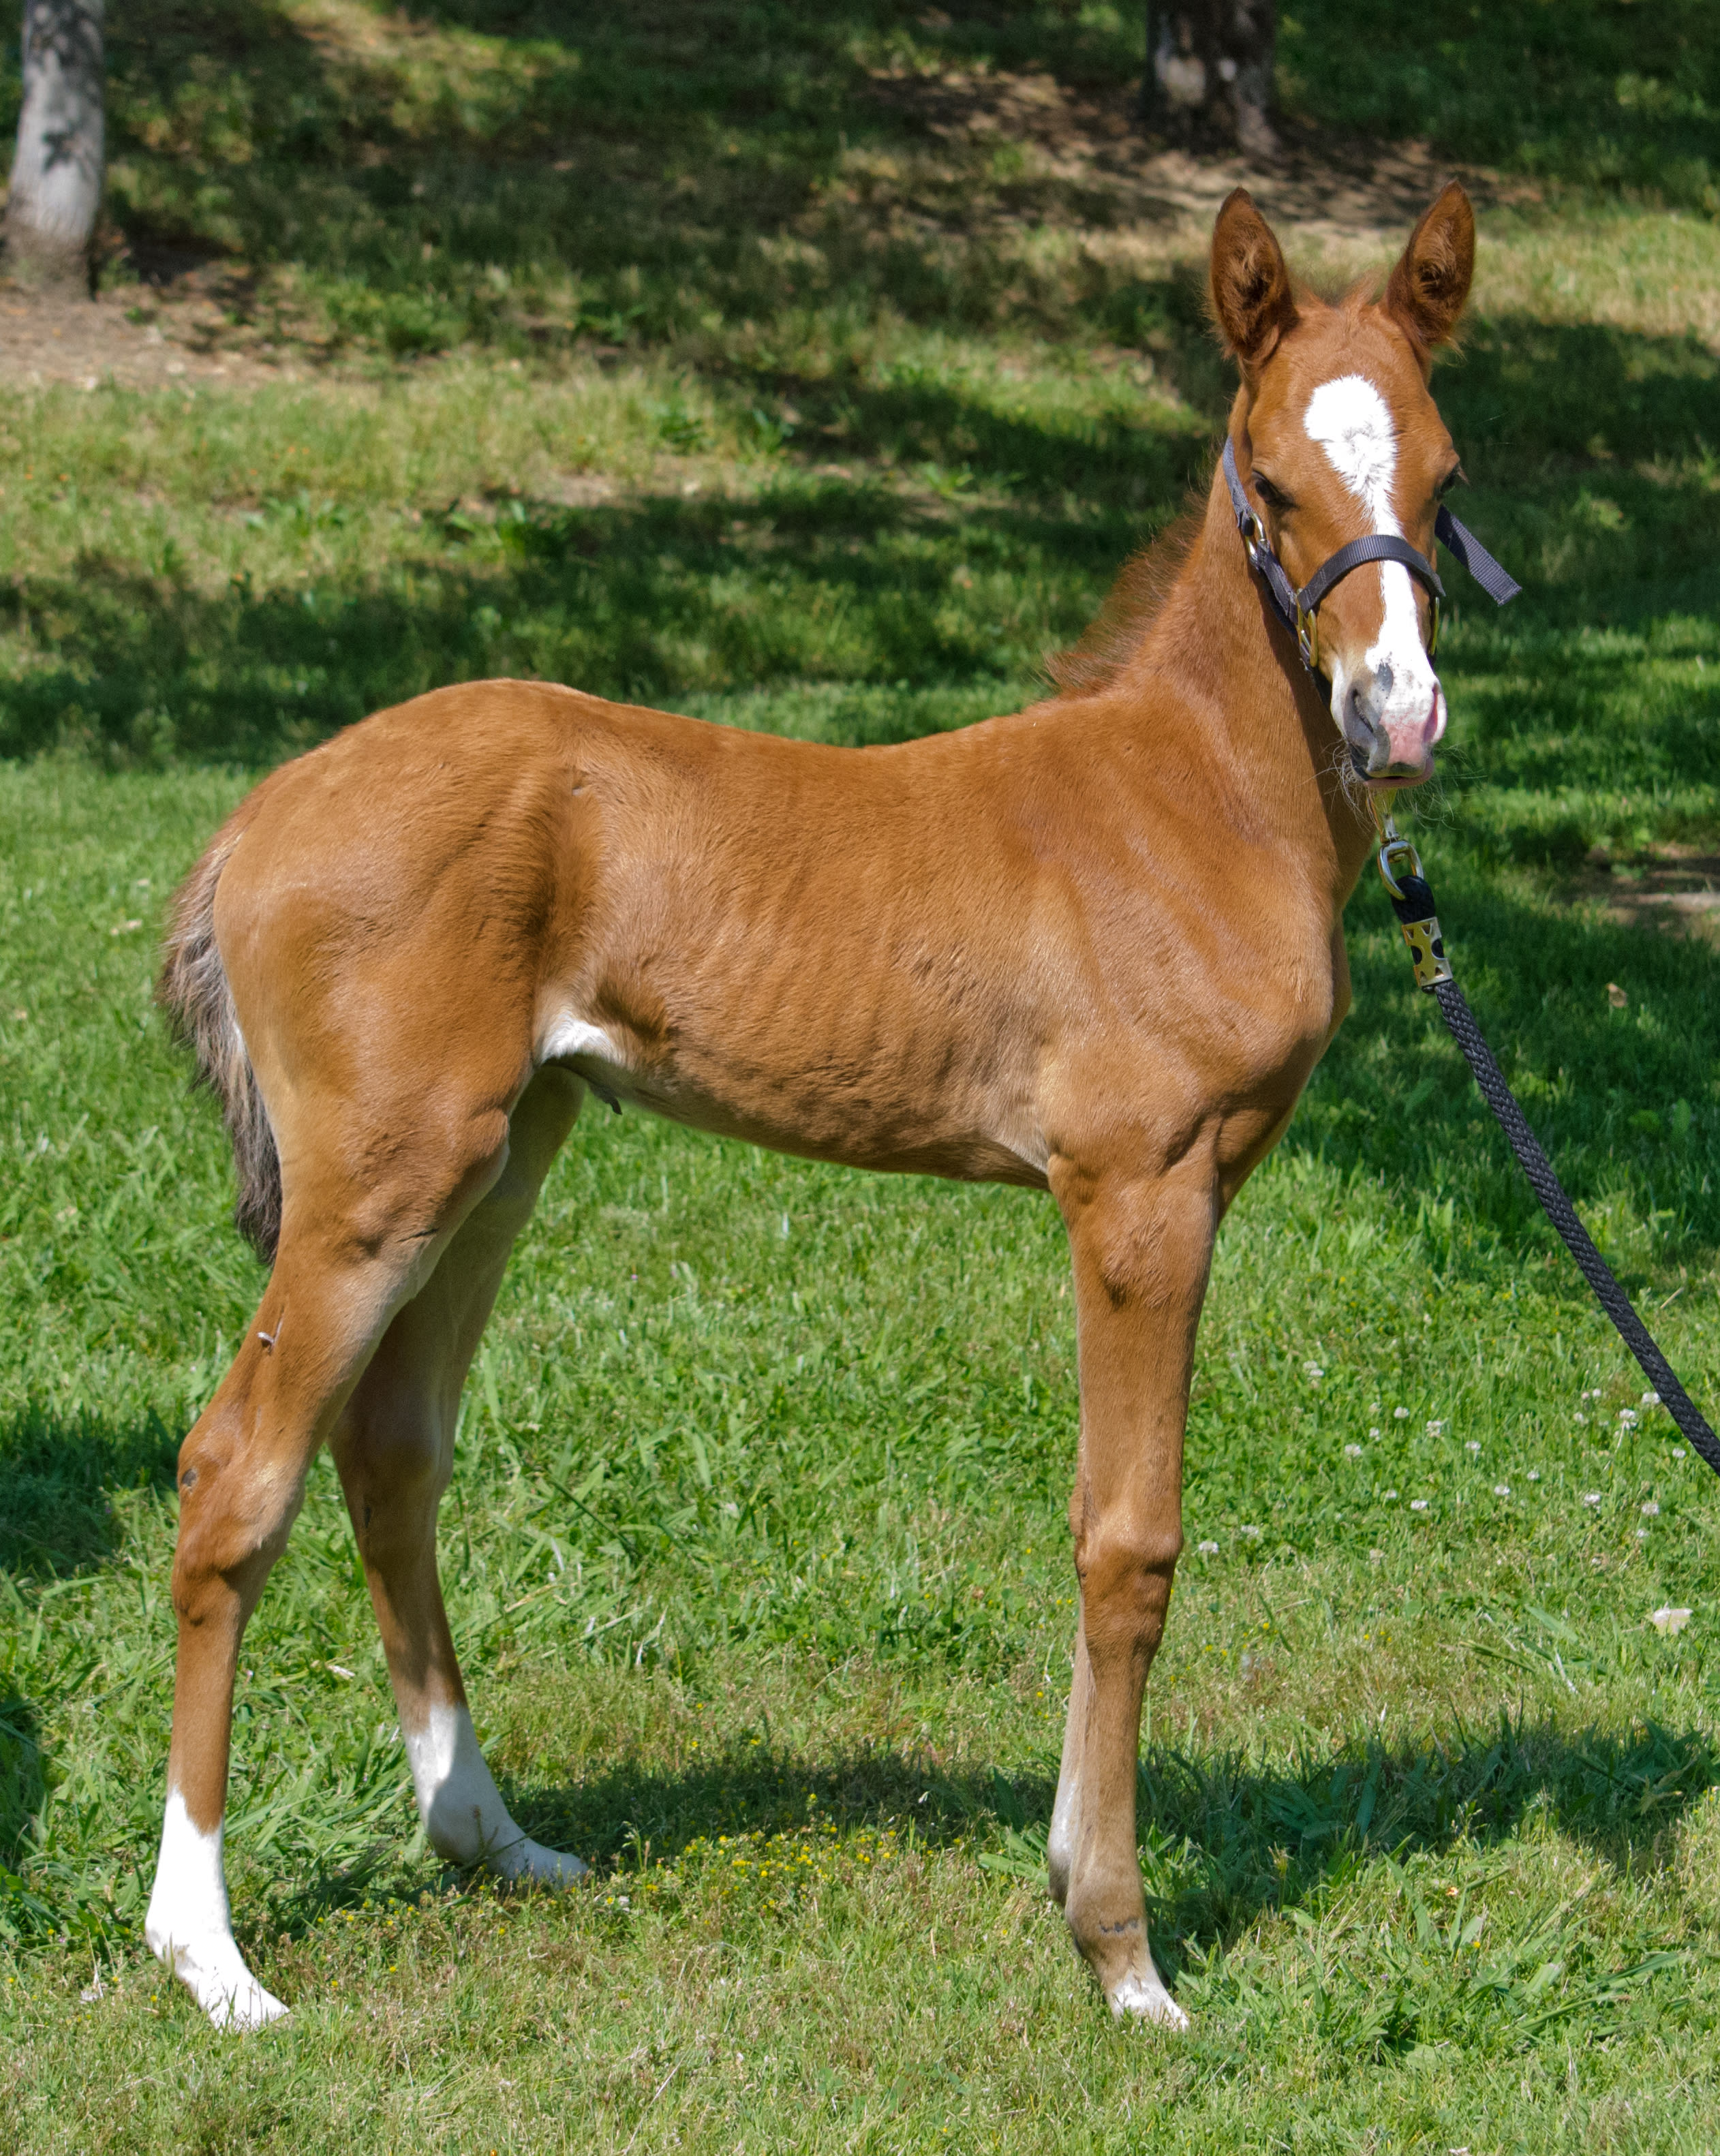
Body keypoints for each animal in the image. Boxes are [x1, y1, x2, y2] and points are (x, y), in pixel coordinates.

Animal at [143, 180, 1479, 2030]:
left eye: (1443, 476)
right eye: (1271, 481)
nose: (1396, 715)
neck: (1191, 799)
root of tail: (256, 814)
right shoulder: (1137, 1192)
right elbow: (1127, 1540)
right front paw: (1119, 1950)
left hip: (501, 1156)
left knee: (387, 1445)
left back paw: (490, 1835)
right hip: (378, 1181)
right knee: (234, 1470)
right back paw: (209, 1951)